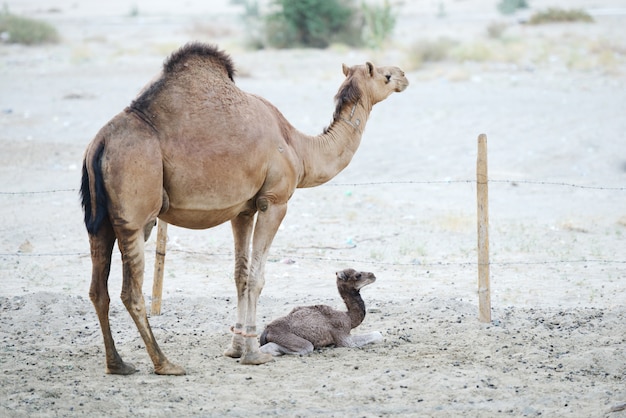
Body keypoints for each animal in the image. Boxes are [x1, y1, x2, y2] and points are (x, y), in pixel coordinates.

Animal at [80, 43, 408, 376]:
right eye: (385, 75)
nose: (404, 75)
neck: (300, 148)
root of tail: (100, 142)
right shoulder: (273, 202)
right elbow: (256, 277)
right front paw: (253, 353)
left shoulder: (244, 210)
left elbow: (239, 274)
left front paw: (235, 348)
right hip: (134, 216)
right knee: (131, 292)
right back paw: (165, 363)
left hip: (100, 221)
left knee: (98, 290)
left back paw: (118, 364)